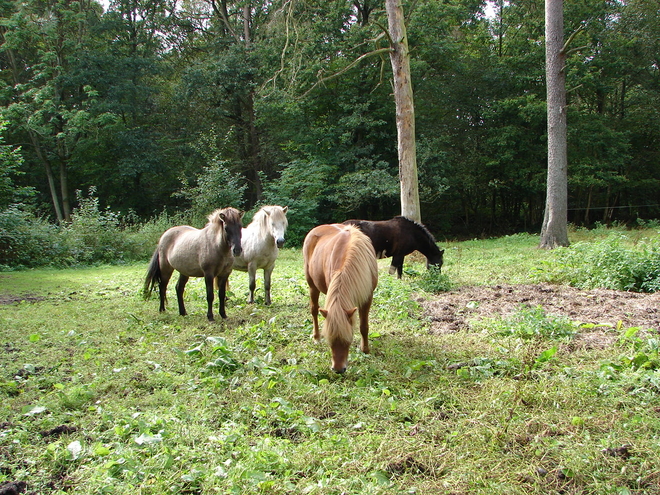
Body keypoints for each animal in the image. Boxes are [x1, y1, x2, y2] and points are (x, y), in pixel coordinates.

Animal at [302, 224, 376, 372]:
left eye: (348, 340)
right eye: (330, 341)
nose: (338, 369)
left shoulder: (367, 298)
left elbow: (363, 326)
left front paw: (365, 350)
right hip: (312, 286)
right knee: (314, 310)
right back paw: (316, 337)